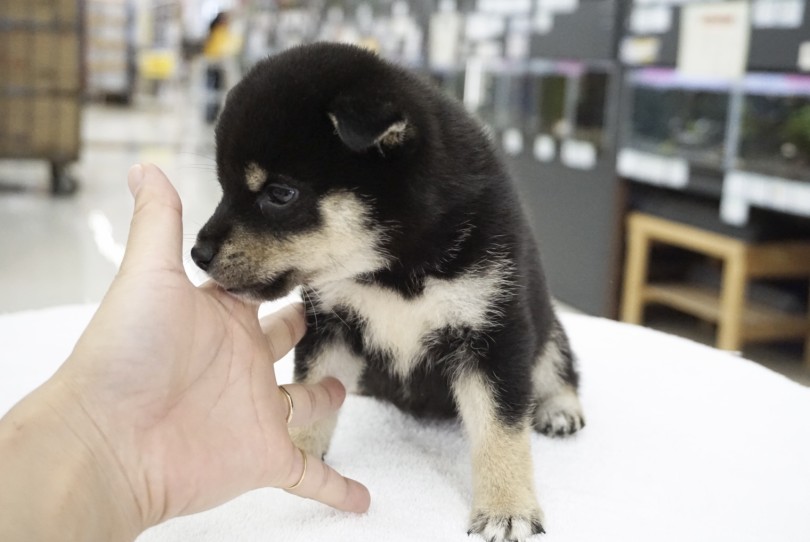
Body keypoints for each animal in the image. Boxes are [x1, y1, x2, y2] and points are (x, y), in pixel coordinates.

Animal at [193, 43, 584, 542]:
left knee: (558, 364)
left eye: (280, 194)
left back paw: (559, 408)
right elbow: (315, 393)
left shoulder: (495, 331)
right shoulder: (331, 324)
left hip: (544, 322)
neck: (390, 270)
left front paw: (507, 507)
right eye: (224, 188)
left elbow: (501, 432)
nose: (197, 253)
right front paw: (298, 457)